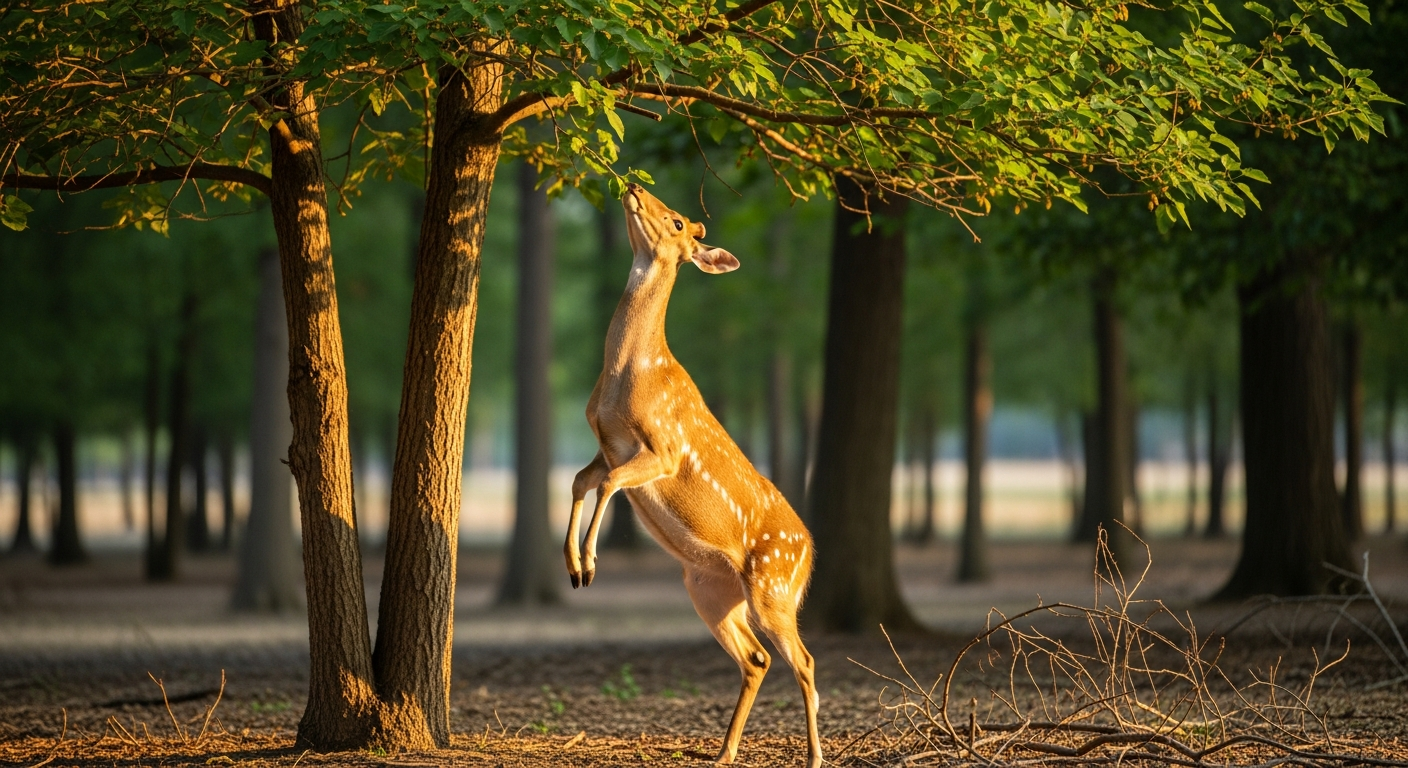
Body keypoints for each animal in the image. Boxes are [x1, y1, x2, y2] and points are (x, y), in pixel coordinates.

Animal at [563, 183, 821, 768]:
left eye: (678, 221)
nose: (635, 186)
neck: (627, 376)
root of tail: (811, 555)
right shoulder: (607, 447)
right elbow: (579, 481)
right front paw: (574, 567)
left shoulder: (662, 447)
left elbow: (605, 485)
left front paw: (590, 563)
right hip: (709, 589)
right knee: (756, 658)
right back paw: (724, 752)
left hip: (772, 587)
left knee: (804, 661)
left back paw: (815, 757)